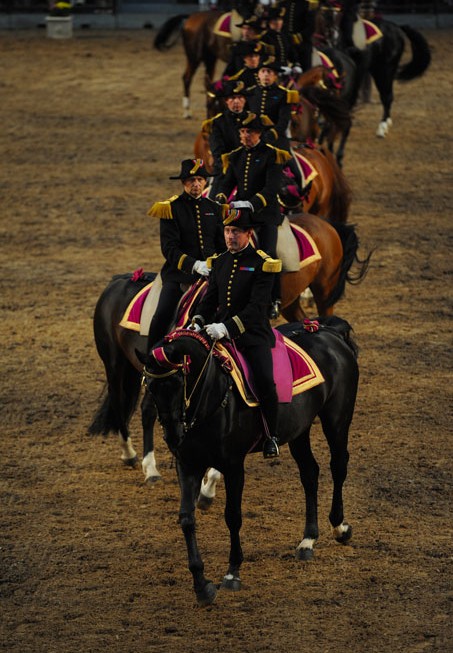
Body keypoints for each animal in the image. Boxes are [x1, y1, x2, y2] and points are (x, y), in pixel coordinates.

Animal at [136, 318, 358, 604]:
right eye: (150, 386)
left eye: (178, 382)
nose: (173, 436)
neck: (210, 394)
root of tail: (329, 332)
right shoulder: (188, 465)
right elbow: (186, 519)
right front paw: (202, 585)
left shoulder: (233, 466)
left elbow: (233, 516)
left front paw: (232, 573)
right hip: (299, 429)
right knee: (310, 473)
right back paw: (308, 540)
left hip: (336, 419)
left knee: (338, 465)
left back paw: (340, 527)